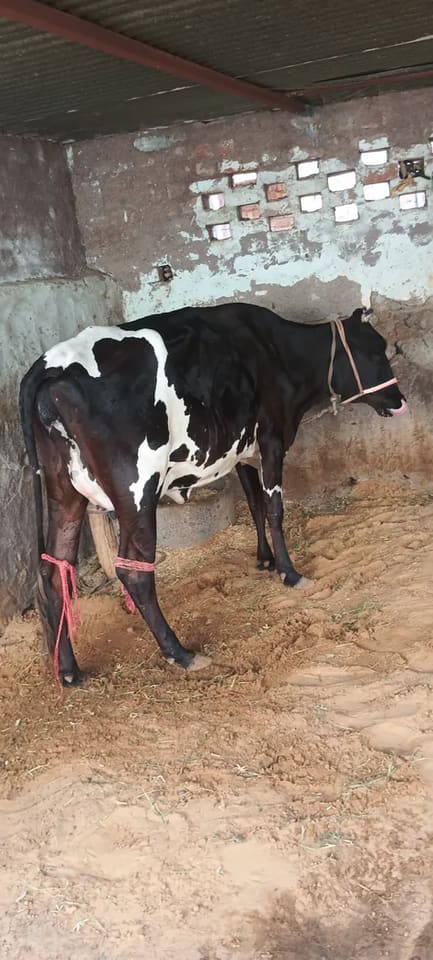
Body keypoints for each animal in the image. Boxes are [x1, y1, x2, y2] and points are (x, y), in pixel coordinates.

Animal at [19, 302, 406, 686]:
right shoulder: (272, 440)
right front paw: (290, 573)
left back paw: (69, 670)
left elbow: (255, 504)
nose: (401, 400)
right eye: (376, 352)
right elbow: (275, 508)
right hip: (136, 488)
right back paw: (180, 653)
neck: (279, 352)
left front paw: (264, 560)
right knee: (134, 572)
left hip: (64, 489)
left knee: (53, 569)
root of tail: (50, 364)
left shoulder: (243, 451)